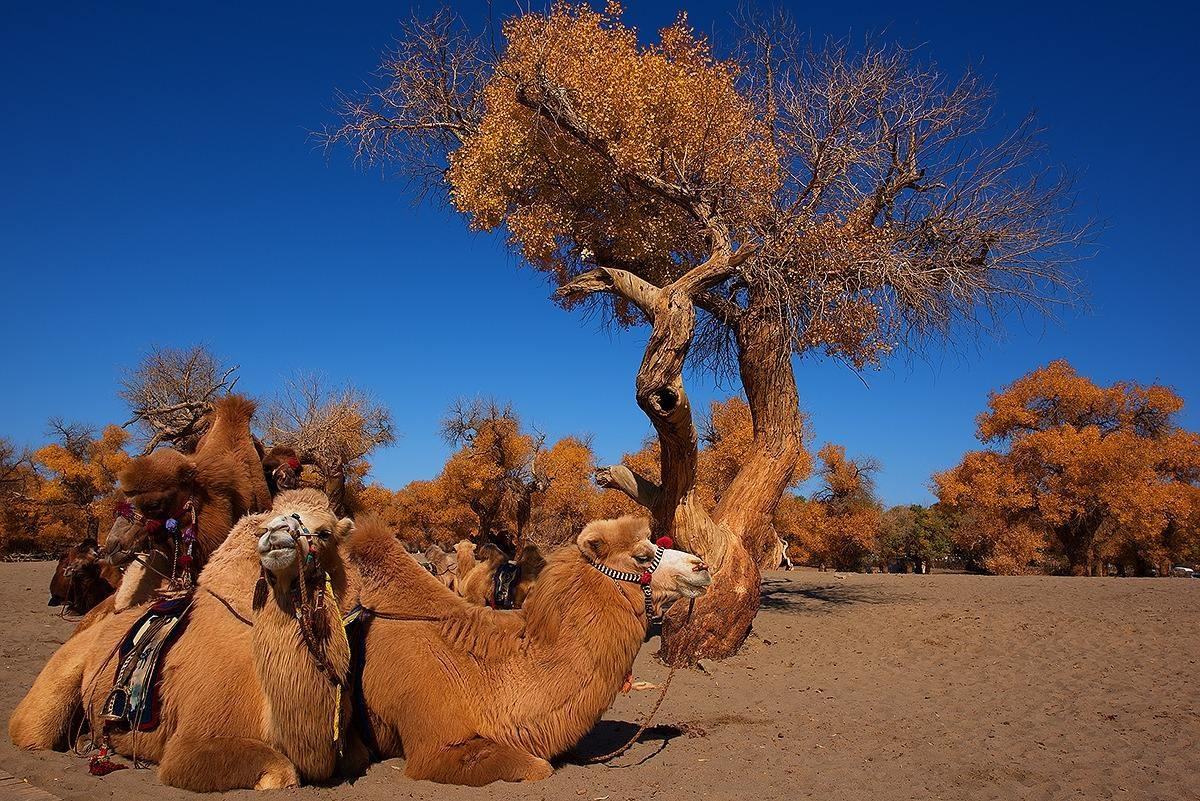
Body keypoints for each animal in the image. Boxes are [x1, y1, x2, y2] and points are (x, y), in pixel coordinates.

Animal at [10, 491, 360, 791]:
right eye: (266, 525)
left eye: (325, 533)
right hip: (62, 674)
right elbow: (282, 772)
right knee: (31, 731)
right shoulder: (188, 747)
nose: (276, 535)